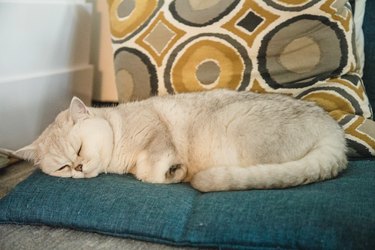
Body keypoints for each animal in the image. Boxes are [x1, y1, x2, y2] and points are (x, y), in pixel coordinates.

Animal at [16, 89, 346, 192]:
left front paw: (173, 171)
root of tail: (334, 135)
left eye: (80, 149)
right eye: (63, 167)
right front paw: (172, 172)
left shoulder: (155, 133)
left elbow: (150, 170)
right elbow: (147, 172)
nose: (79, 167)